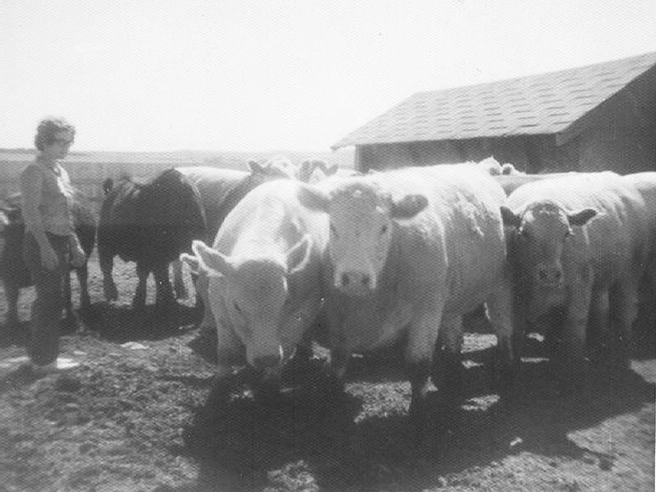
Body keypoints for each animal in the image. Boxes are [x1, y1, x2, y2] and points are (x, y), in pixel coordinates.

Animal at [0, 192, 96, 328]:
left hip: (81, 262)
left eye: (3, 231)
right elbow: (12, 298)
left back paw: (85, 306)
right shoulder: (8, 276)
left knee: (82, 280)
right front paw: (11, 322)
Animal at [97, 168, 206, 309]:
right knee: (107, 267)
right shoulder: (150, 254)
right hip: (104, 243)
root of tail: (110, 192)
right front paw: (143, 300)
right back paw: (111, 293)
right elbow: (152, 274)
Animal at [180, 179, 329, 396]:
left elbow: (288, 340)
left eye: (285, 301)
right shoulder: (218, 299)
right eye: (237, 306)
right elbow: (225, 349)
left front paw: (270, 381)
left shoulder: (310, 302)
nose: (266, 358)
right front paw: (221, 381)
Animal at [297, 165, 516, 433]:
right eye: (333, 227)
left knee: (503, 325)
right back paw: (453, 373)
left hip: (501, 282)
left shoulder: (427, 309)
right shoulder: (337, 310)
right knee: (454, 333)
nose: (355, 278)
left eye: (384, 227)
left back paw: (506, 368)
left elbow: (419, 366)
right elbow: (338, 360)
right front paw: (332, 404)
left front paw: (417, 421)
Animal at [500, 172, 648, 384]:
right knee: (601, 310)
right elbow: (517, 329)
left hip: (629, 274)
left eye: (566, 233)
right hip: (600, 282)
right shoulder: (517, 292)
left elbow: (574, 328)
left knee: (625, 310)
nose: (550, 273)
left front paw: (573, 372)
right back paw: (596, 345)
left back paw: (622, 348)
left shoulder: (580, 288)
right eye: (524, 233)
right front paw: (514, 369)